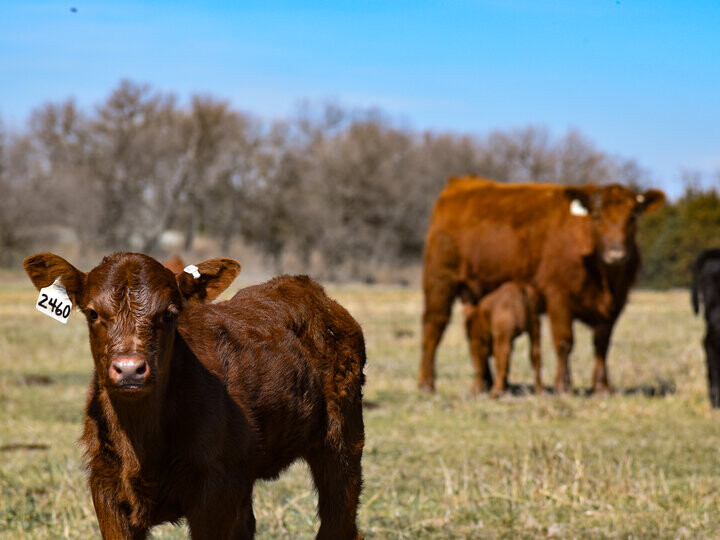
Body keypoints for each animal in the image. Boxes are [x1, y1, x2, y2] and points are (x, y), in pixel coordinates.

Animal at [24, 252, 366, 539]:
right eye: (93, 313)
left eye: (169, 314)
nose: (130, 369)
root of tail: (305, 287)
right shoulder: (106, 488)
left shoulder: (214, 493)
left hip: (342, 442)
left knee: (339, 521)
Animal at [419, 176, 664, 394]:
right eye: (596, 216)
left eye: (632, 217)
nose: (616, 255)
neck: (604, 278)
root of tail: (460, 182)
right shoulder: (558, 297)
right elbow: (565, 341)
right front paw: (564, 386)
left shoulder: (616, 304)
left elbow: (602, 344)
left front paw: (602, 387)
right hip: (439, 281)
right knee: (434, 327)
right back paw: (427, 383)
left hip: (475, 295)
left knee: (475, 336)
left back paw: (484, 384)